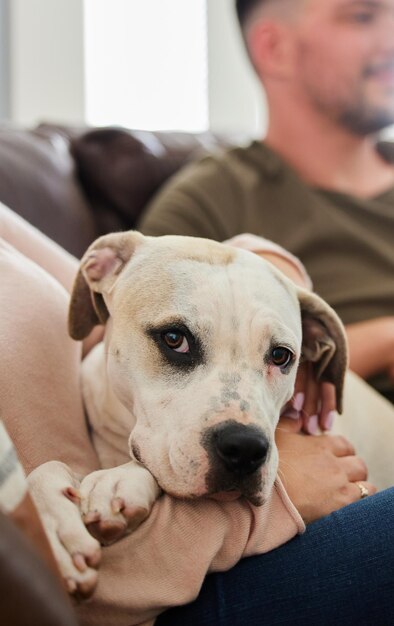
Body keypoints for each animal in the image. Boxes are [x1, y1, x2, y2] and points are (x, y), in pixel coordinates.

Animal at [28, 230, 344, 596]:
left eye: (281, 356)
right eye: (174, 339)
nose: (245, 448)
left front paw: (120, 480)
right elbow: (44, 469)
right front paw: (53, 530)